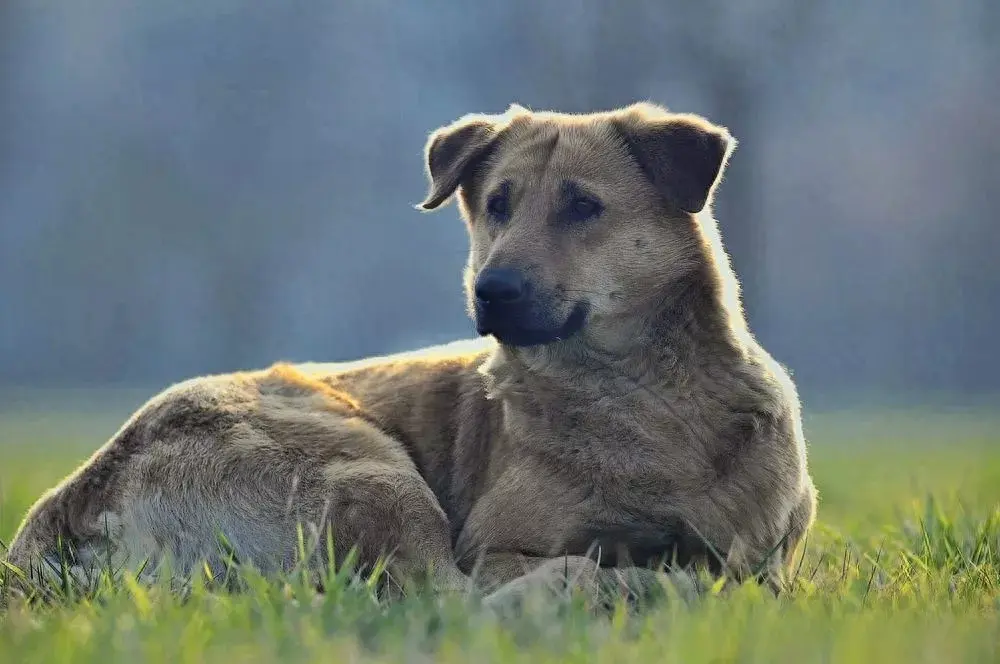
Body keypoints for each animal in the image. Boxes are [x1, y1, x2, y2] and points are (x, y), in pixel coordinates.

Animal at [3, 101, 816, 604]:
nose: (492, 290)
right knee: (453, 603)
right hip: (362, 462)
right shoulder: (498, 547)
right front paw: (643, 576)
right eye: (497, 204)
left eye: (583, 206)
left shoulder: (768, 549)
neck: (642, 402)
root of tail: (65, 511)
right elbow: (541, 574)